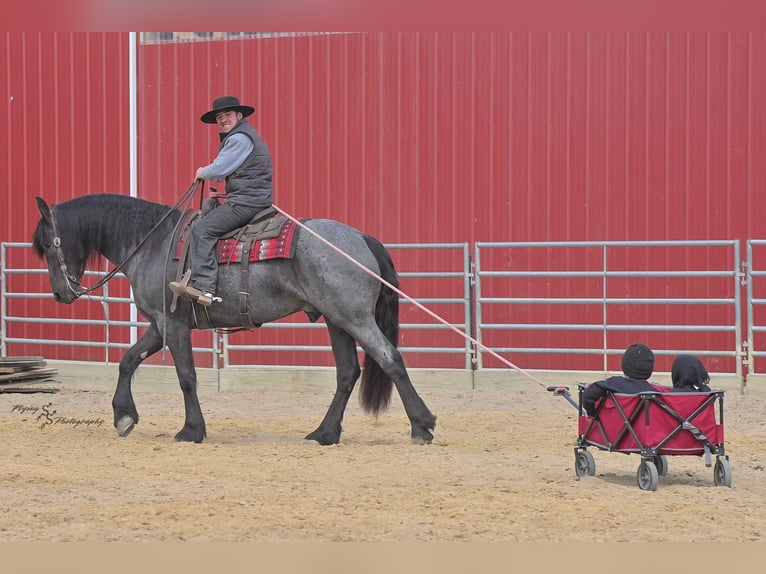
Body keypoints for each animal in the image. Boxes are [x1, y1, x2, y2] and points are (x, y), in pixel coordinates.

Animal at [31, 193, 436, 445]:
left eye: (50, 244)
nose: (60, 294)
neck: (153, 242)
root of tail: (361, 238)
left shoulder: (174, 325)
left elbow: (187, 378)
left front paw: (191, 430)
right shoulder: (158, 325)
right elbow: (128, 360)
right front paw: (123, 416)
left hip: (354, 318)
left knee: (389, 358)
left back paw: (422, 425)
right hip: (336, 321)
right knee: (347, 373)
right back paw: (324, 433)